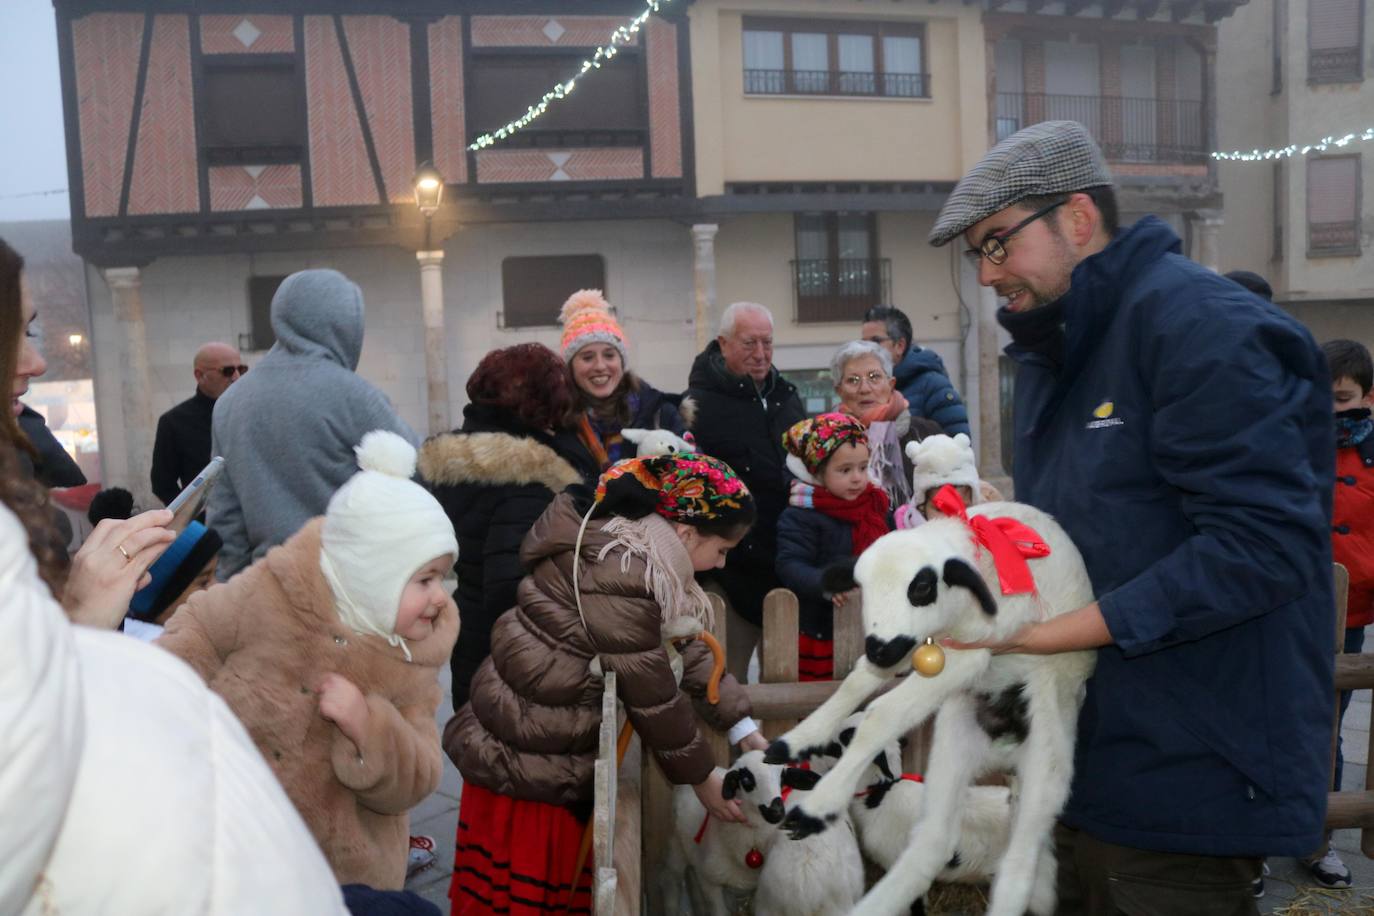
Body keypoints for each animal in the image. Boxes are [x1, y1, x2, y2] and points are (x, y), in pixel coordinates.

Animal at [662, 752, 785, 916]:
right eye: (746, 779)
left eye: (782, 777)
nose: (776, 811)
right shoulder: (710, 883)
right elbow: (718, 910)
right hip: (676, 845)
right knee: (671, 881)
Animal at [763, 497, 1093, 916]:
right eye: (861, 586)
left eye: (921, 586)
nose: (879, 648)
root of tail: (1004, 751)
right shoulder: (912, 647)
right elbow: (856, 682)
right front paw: (797, 740)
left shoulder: (970, 653)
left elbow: (881, 715)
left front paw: (818, 806)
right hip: (954, 746)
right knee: (933, 840)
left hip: (1046, 759)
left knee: (1019, 866)